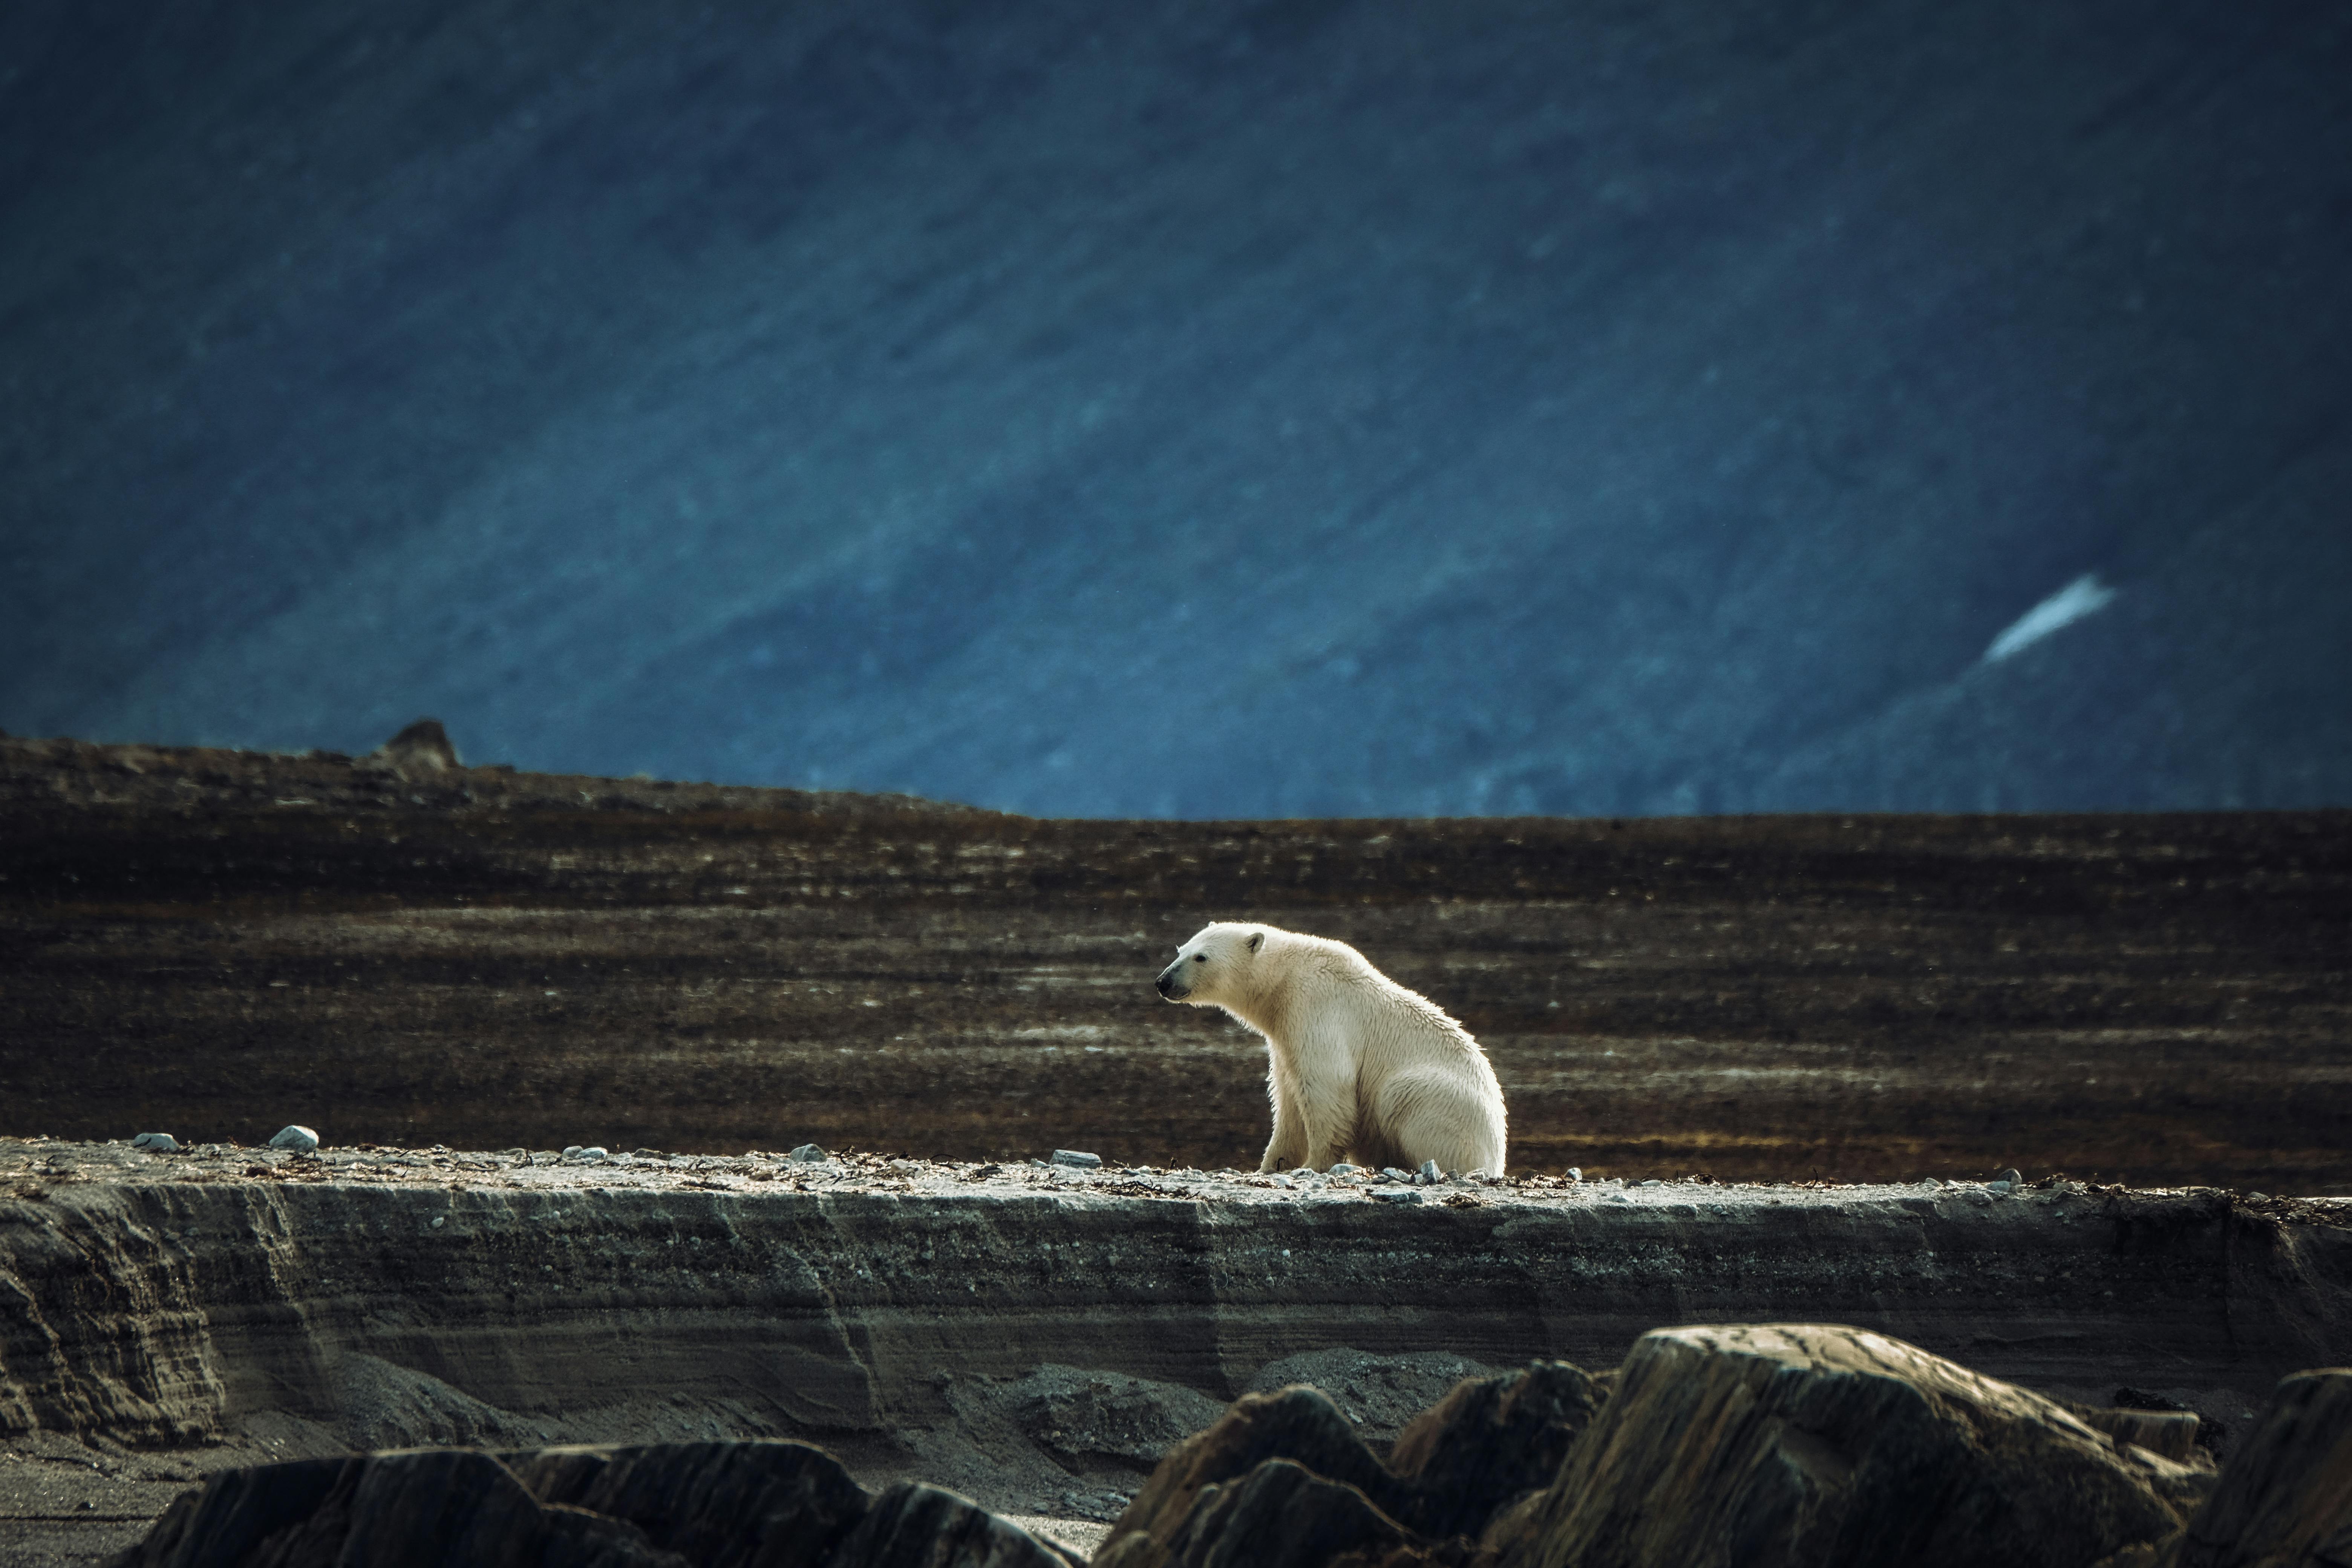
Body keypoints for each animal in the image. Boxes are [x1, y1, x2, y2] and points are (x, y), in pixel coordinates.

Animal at [1154, 921, 1507, 1177]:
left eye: (1201, 957)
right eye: (1180, 950)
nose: (1163, 982)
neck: (1285, 980)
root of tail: (1497, 1152)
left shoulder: (1317, 1010)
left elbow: (1326, 1090)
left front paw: (1314, 1165)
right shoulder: (1285, 1035)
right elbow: (1288, 1103)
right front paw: (1271, 1165)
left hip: (1439, 1100)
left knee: (1401, 1096)